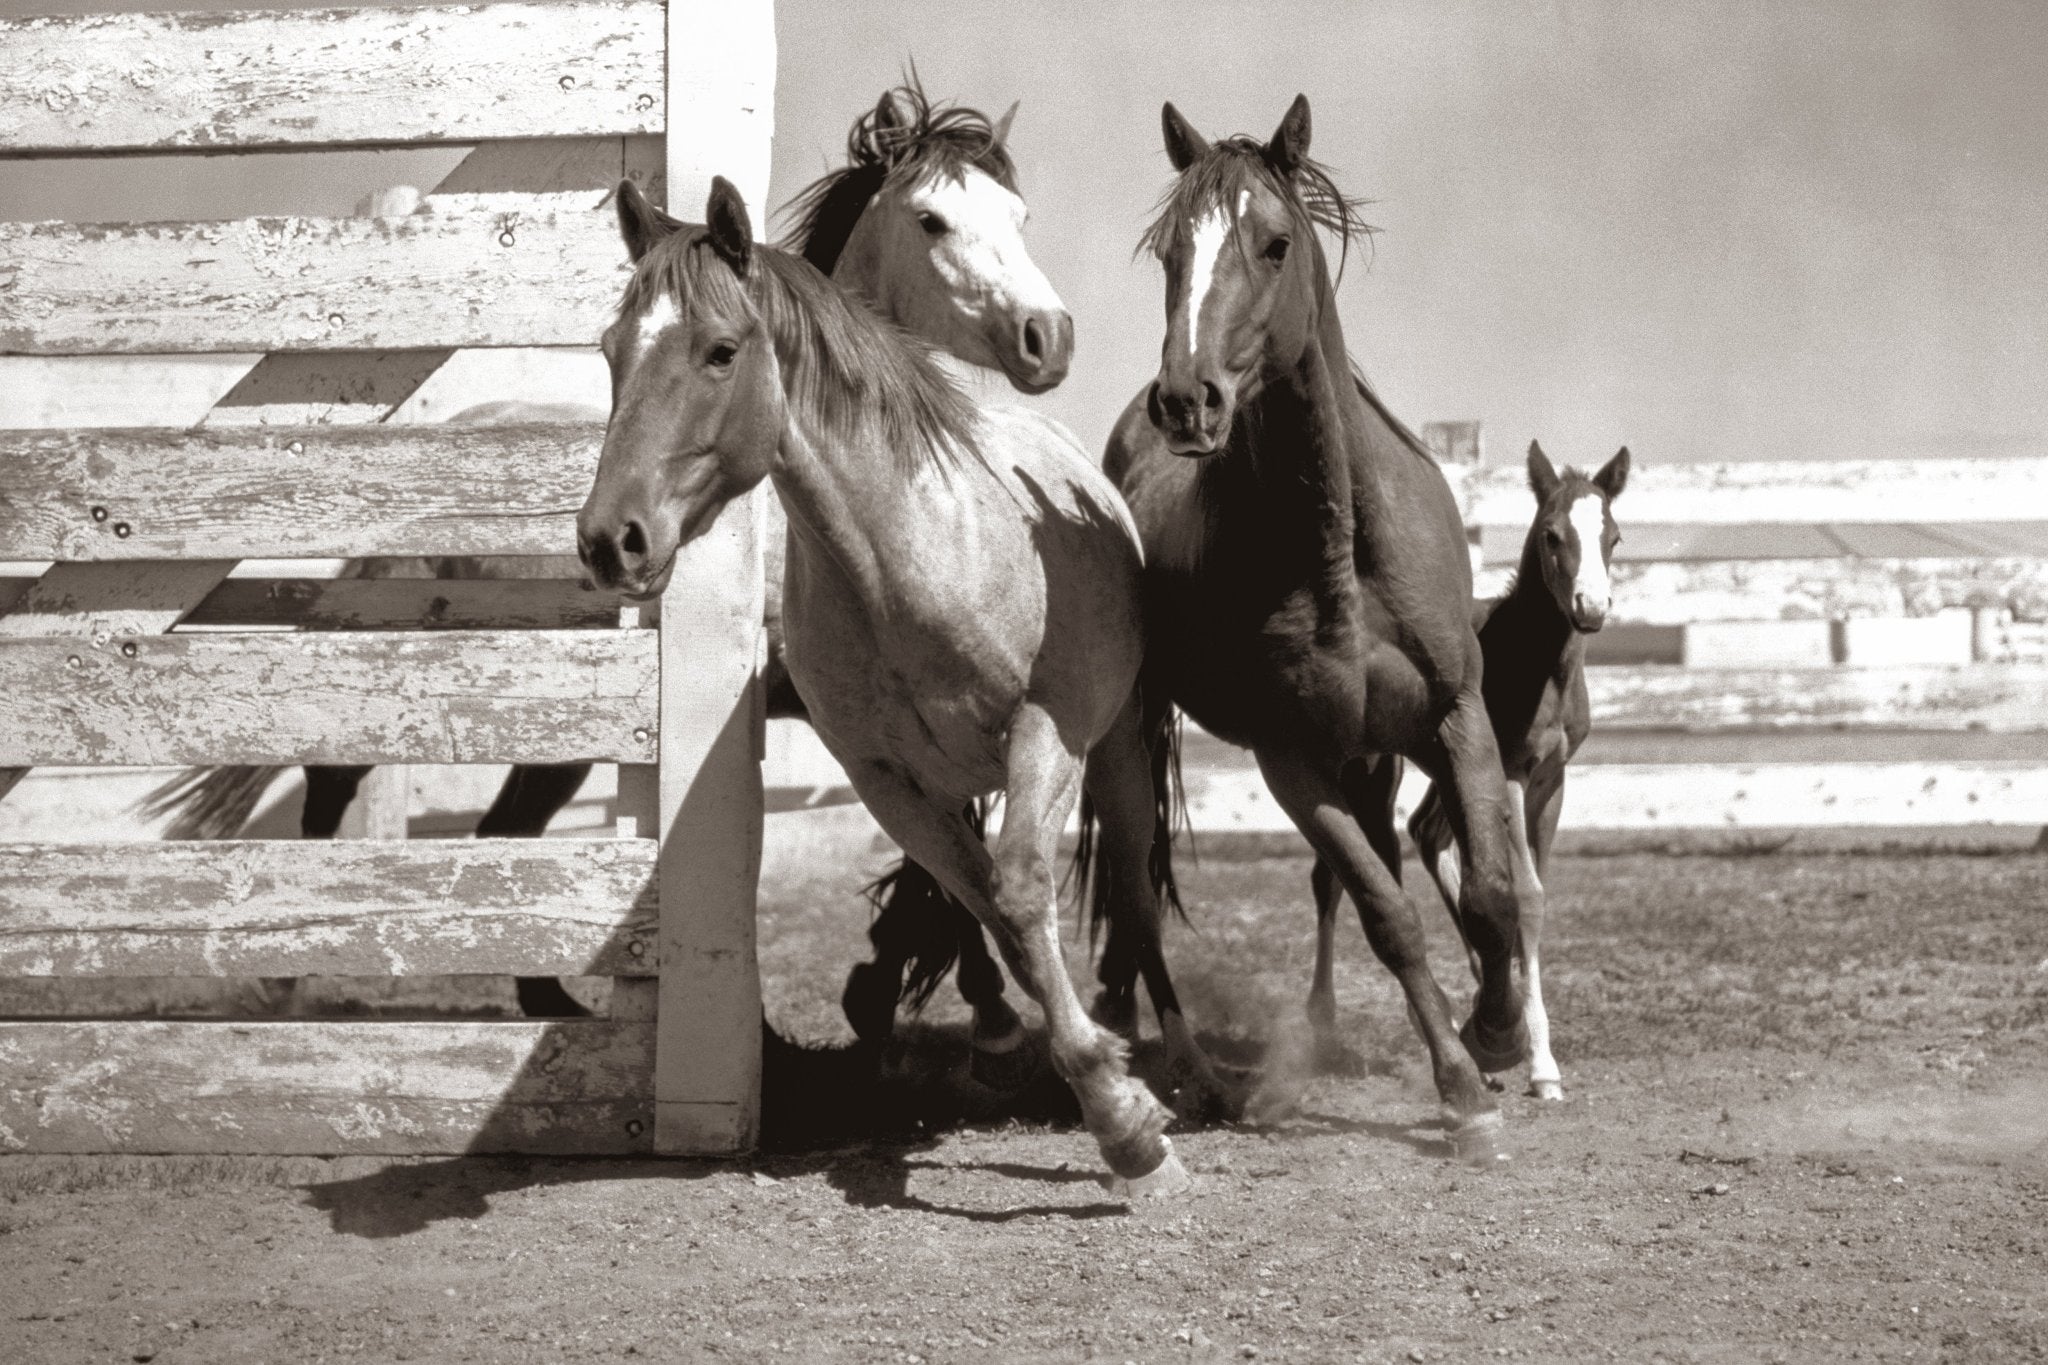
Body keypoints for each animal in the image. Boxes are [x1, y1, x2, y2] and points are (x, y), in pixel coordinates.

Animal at [139, 81, 1064, 1055]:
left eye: (1018, 214)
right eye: (932, 218)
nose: (1046, 336)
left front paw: (905, 988)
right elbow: (942, 852)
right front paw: (966, 1001)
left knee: (493, 832)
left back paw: (546, 999)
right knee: (339, 796)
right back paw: (288, 974)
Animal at [576, 174, 1190, 1192]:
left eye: (721, 350)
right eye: (610, 349)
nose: (609, 540)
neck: (909, 559)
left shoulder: (1046, 737)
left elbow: (1023, 891)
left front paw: (1127, 1121)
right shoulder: (889, 782)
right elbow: (982, 902)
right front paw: (1066, 1067)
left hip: (1117, 757)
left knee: (1136, 893)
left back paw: (1181, 1057)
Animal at [1091, 95, 1533, 1160]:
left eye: (1275, 242)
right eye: (1169, 250)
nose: (1187, 399)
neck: (1342, 546)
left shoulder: (1452, 718)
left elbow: (1487, 893)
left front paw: (1495, 1032)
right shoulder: (1289, 757)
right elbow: (1389, 913)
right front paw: (1464, 1092)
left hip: (1369, 756)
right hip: (1132, 743)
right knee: (1138, 897)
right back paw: (1195, 1073)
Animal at [1324, 440, 1626, 1103]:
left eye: (1614, 536)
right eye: (1551, 535)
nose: (1591, 608)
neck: (1538, 666)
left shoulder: (1552, 780)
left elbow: (1526, 891)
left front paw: (1506, 1027)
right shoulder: (1509, 773)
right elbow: (1528, 894)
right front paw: (1541, 1064)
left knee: (1425, 833)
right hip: (1370, 765)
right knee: (1336, 875)